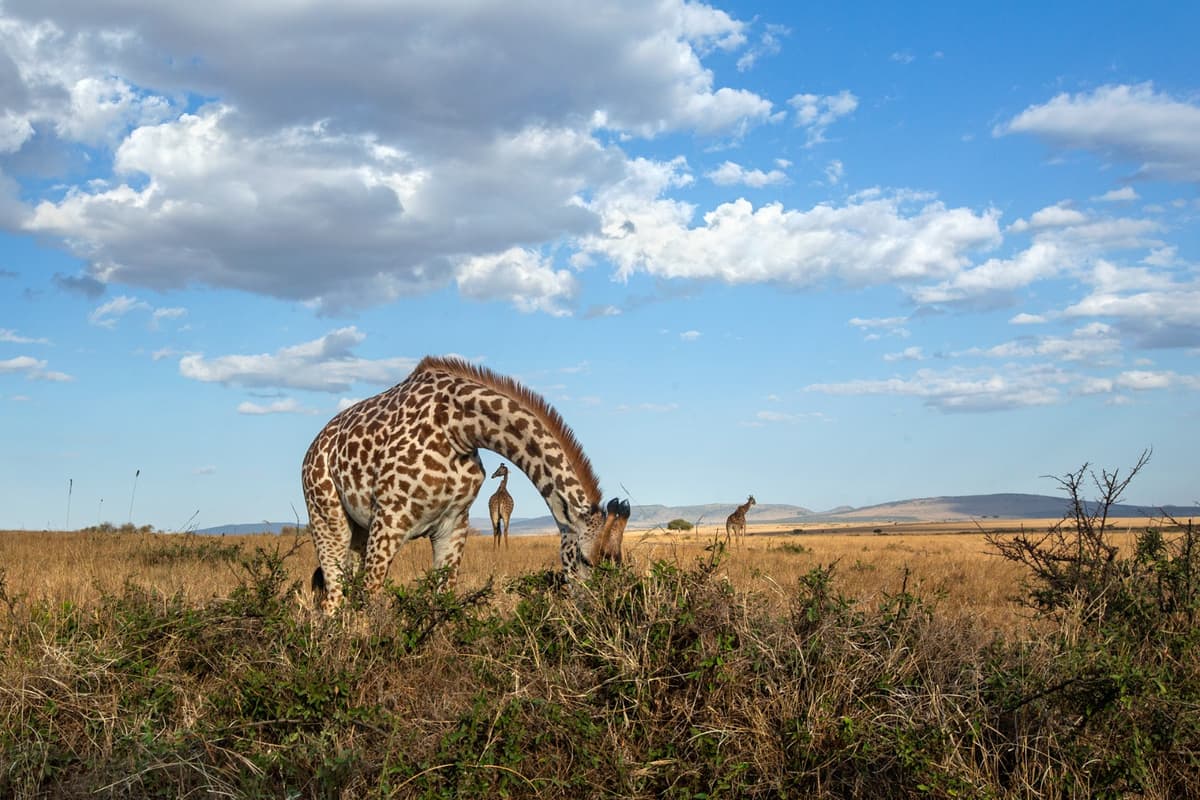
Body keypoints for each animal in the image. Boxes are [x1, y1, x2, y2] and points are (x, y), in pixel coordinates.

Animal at [302, 355, 615, 611]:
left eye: (615, 560)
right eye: (585, 559)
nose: (599, 610)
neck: (459, 428)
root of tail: (313, 448)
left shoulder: (452, 525)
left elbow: (442, 601)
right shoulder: (388, 519)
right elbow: (373, 603)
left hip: (359, 530)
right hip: (327, 519)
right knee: (333, 598)